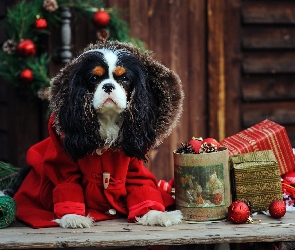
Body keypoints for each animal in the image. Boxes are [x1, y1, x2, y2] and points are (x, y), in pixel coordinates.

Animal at [14, 40, 185, 229]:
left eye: (124, 79)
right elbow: (67, 183)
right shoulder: (62, 161)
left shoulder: (133, 166)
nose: (108, 86)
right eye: (94, 78)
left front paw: (156, 214)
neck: (108, 119)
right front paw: (73, 217)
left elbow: (141, 186)